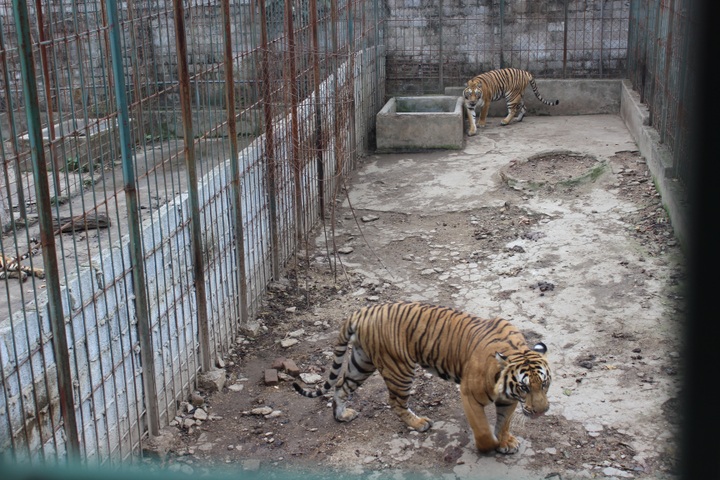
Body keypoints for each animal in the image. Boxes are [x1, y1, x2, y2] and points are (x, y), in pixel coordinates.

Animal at [292, 301, 551, 454]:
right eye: (525, 388)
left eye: (545, 384)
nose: (541, 412)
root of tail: (362, 311)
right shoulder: (470, 396)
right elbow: (483, 430)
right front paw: (490, 446)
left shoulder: (508, 399)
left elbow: (504, 422)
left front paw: (506, 441)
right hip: (399, 369)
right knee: (395, 402)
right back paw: (418, 423)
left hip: (361, 362)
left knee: (341, 385)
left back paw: (341, 415)